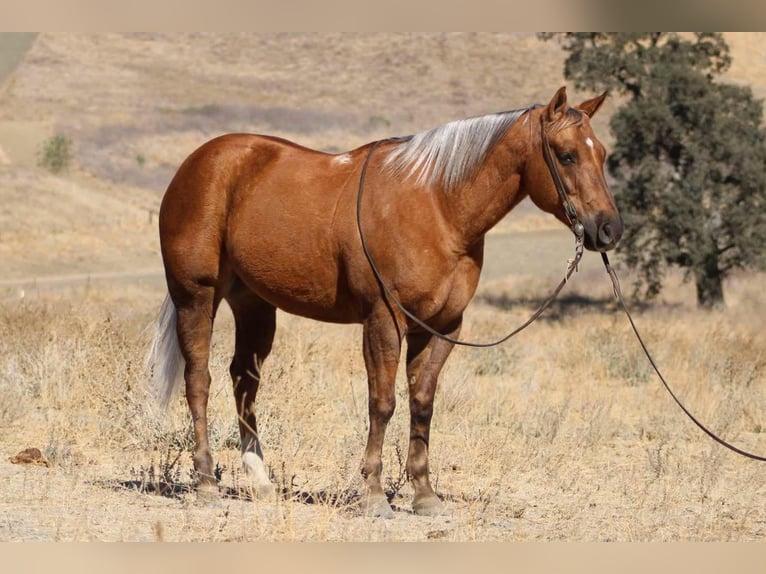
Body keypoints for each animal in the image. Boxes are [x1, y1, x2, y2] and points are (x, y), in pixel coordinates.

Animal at [147, 86, 622, 518]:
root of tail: (198, 163)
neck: (438, 208)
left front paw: (426, 496)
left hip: (255, 306)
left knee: (244, 381)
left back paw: (261, 481)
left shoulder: (442, 328)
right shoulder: (384, 321)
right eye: (566, 155)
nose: (608, 230)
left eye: (602, 154)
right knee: (199, 380)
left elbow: (422, 404)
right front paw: (374, 496)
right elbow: (383, 403)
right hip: (196, 297)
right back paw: (206, 484)